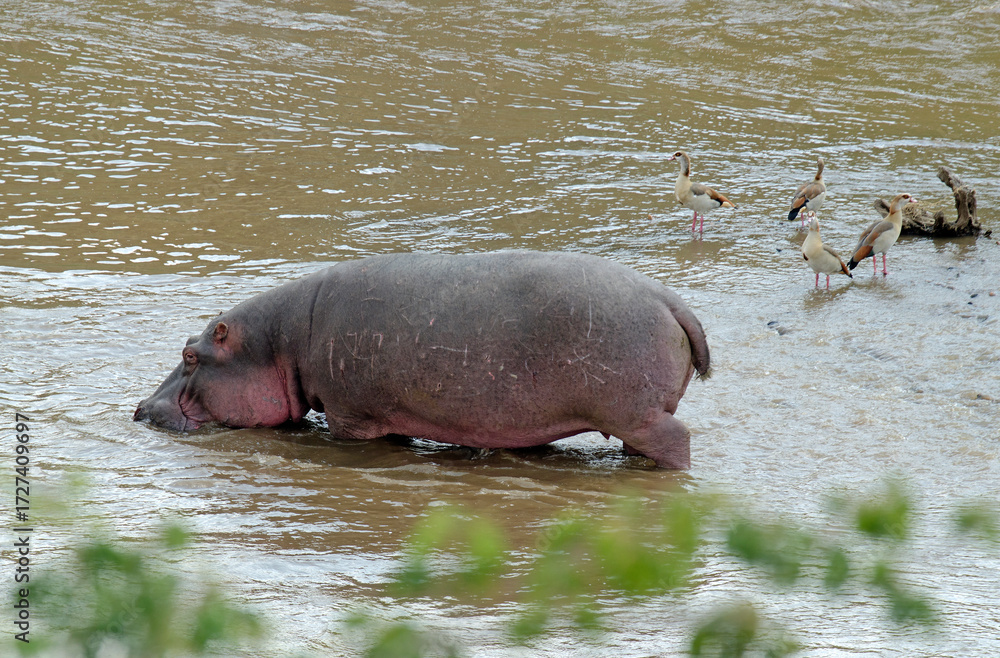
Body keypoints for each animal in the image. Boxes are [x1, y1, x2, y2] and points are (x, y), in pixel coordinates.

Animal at [134, 251, 710, 468]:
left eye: (190, 354)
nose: (140, 407)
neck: (281, 341)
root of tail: (670, 300)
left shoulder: (355, 416)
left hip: (638, 414)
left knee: (677, 443)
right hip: (640, 417)